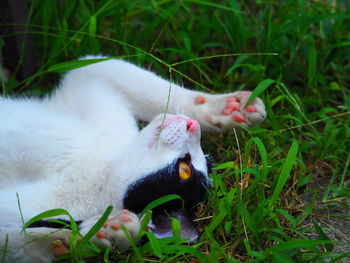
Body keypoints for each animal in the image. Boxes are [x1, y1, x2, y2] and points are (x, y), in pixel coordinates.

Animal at [0, 56, 266, 262]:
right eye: (192, 165)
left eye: (185, 170)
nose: (193, 126)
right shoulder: (95, 87)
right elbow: (97, 65)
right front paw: (226, 109)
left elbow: (18, 242)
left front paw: (89, 235)